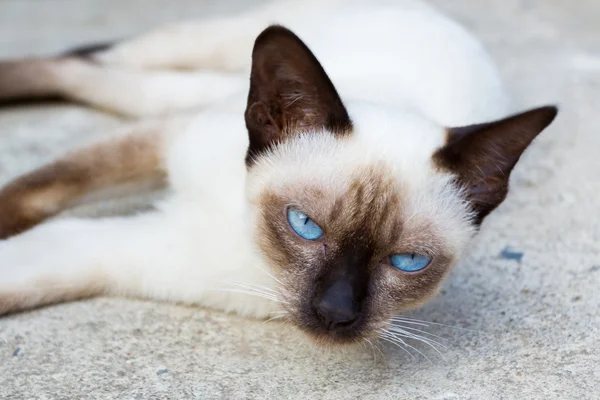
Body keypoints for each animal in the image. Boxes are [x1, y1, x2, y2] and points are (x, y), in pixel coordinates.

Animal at [0, 0, 556, 346]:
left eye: (409, 262)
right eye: (304, 225)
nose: (335, 313)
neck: (239, 225)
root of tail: (445, 20)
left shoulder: (129, 252)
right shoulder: (165, 140)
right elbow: (41, 189)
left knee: (102, 76)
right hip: (207, 63)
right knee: (97, 63)